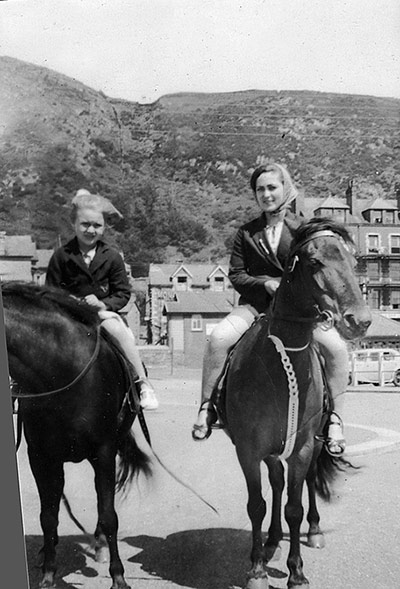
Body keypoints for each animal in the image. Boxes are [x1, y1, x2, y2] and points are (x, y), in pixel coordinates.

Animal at [1, 282, 152, 588]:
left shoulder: (104, 451)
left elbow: (108, 514)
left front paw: (118, 576)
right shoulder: (41, 456)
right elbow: (48, 515)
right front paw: (48, 572)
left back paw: (100, 545)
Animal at [219, 217, 372, 588]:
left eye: (353, 260)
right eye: (314, 262)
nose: (359, 320)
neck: (281, 362)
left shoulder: (301, 447)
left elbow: (294, 507)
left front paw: (296, 571)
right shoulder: (249, 450)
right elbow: (257, 505)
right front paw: (257, 569)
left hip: (312, 444)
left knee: (307, 485)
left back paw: (313, 531)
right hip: (272, 451)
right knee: (276, 484)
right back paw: (272, 539)